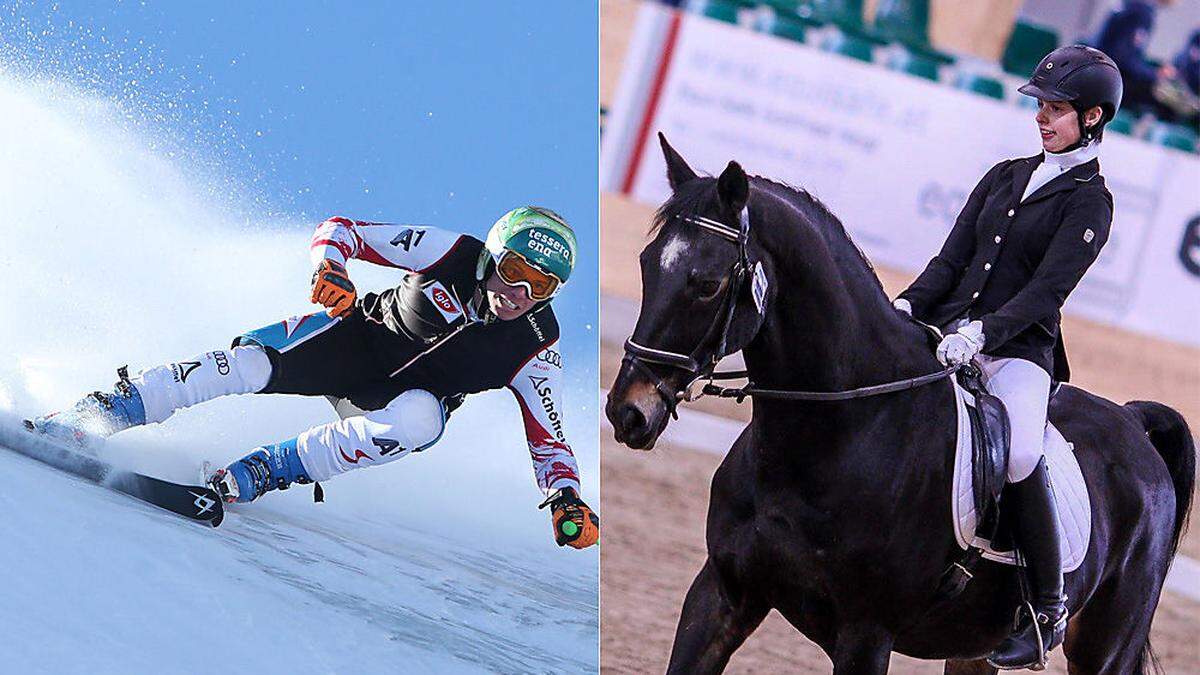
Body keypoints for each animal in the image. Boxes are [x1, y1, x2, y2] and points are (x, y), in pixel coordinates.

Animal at [604, 133, 1195, 667]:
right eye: (646, 263)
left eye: (706, 284)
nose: (627, 411)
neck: (839, 432)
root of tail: (1132, 424)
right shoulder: (721, 593)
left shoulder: (866, 634)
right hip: (975, 649)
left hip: (1106, 645)